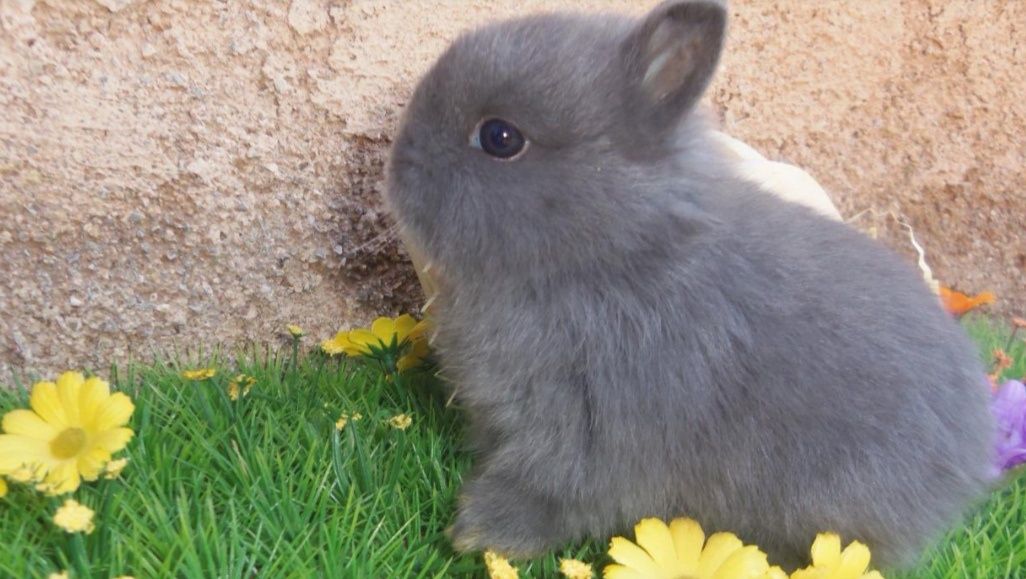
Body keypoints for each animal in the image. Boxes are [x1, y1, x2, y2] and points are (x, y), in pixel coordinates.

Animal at [383, 0, 993, 570]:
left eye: (500, 137)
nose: (396, 164)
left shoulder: (588, 429)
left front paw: (477, 532)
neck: (619, 252)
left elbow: (557, 491)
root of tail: (971, 451)